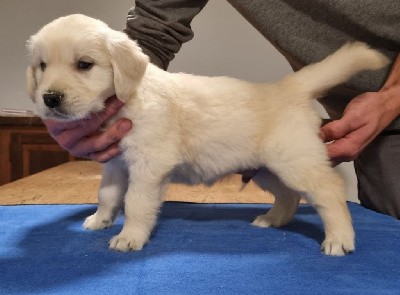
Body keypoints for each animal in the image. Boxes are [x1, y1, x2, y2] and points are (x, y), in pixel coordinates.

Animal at [26, 13, 390, 256]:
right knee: (288, 196)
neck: (128, 100)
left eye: (84, 65)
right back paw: (272, 220)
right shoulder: (116, 163)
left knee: (329, 190)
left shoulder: (149, 163)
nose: (50, 98)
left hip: (295, 161)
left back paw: (339, 239)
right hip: (266, 169)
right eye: (42, 65)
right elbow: (108, 195)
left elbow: (136, 202)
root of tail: (289, 87)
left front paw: (130, 237)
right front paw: (100, 220)